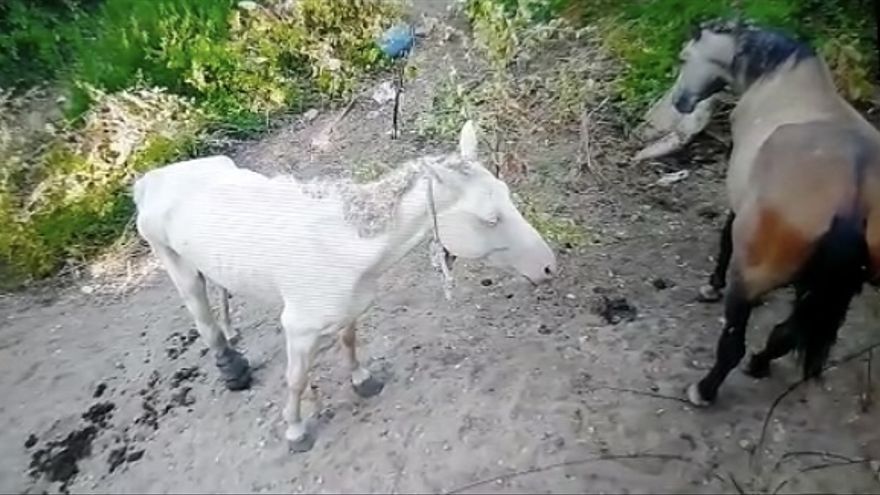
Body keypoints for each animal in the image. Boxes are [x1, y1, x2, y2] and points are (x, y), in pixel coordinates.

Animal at [131, 121, 556, 454]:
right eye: (491, 218)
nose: (549, 266)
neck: (343, 244)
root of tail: (149, 181)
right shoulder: (299, 329)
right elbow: (296, 380)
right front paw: (295, 431)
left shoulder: (351, 308)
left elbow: (349, 342)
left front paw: (362, 381)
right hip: (175, 265)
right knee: (201, 314)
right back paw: (231, 368)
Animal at [672, 19, 880, 406]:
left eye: (684, 57)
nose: (680, 101)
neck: (780, 77)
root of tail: (852, 196)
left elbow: (725, 238)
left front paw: (712, 285)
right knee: (785, 334)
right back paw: (758, 364)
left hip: (750, 277)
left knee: (733, 346)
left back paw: (704, 390)